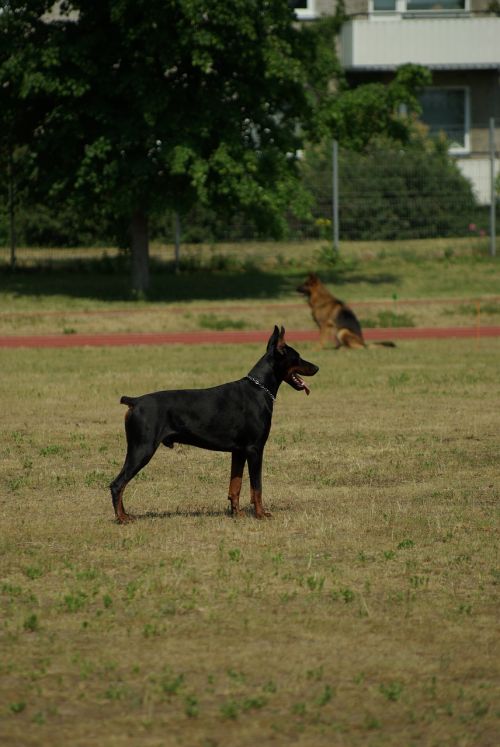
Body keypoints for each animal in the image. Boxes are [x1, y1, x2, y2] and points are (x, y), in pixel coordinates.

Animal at [111, 328, 318, 524]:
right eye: (297, 356)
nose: (317, 367)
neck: (259, 389)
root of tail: (135, 401)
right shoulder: (255, 449)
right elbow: (256, 487)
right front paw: (260, 514)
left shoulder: (239, 451)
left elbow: (235, 486)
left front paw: (237, 514)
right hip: (142, 449)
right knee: (117, 484)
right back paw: (122, 518)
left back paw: (125, 515)